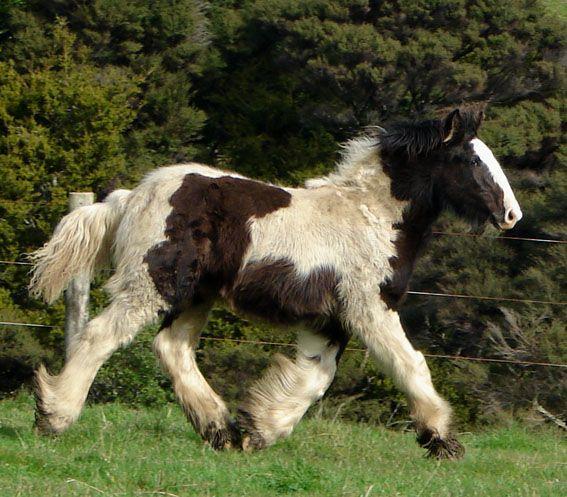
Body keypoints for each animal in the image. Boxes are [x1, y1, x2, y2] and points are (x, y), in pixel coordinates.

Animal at [28, 104, 520, 458]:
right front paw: (443, 441)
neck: (372, 217)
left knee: (172, 348)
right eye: (469, 159)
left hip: (196, 294)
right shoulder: (369, 308)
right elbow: (410, 365)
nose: (512, 215)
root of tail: (130, 196)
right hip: (154, 282)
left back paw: (221, 431)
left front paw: (258, 429)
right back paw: (54, 416)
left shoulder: (330, 321)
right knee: (100, 336)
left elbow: (315, 377)